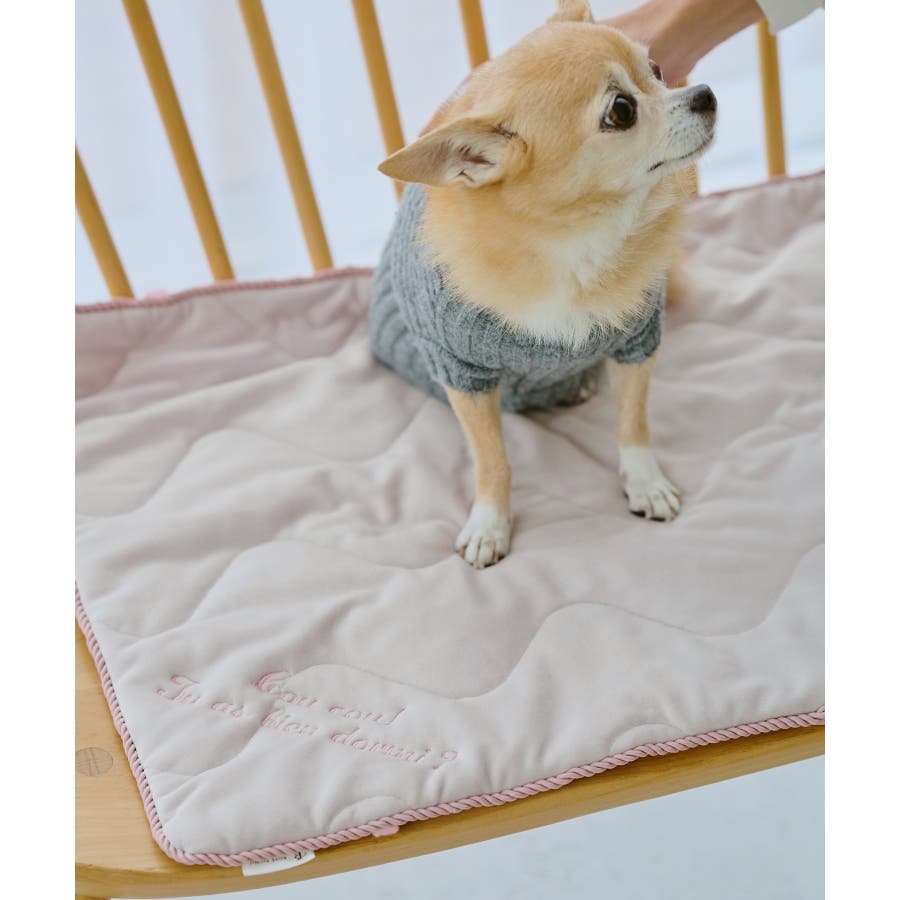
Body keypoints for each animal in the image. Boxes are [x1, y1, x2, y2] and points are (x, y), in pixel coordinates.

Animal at [370, 0, 716, 568]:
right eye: (622, 110)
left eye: (657, 70)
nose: (705, 94)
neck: (577, 239)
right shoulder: (463, 372)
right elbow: (492, 459)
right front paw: (489, 522)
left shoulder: (637, 344)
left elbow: (633, 423)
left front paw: (645, 483)